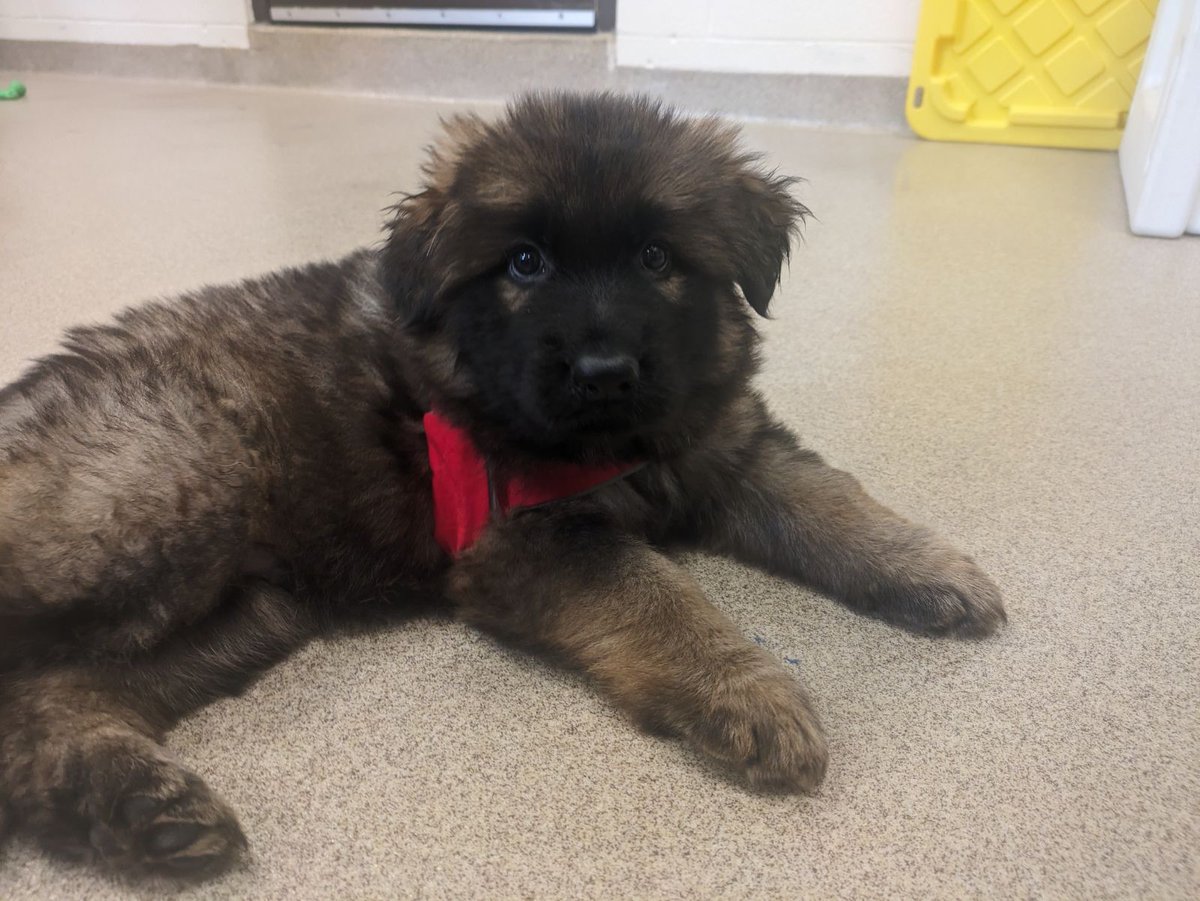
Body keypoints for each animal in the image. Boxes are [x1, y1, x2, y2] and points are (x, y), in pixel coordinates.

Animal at [0, 93, 1003, 883]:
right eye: (525, 263)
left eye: (657, 258)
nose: (603, 371)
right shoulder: (529, 540)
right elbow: (664, 597)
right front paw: (750, 691)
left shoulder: (730, 450)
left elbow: (832, 503)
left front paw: (935, 568)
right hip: (165, 501)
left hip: (248, 609)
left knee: (44, 709)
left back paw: (143, 811)